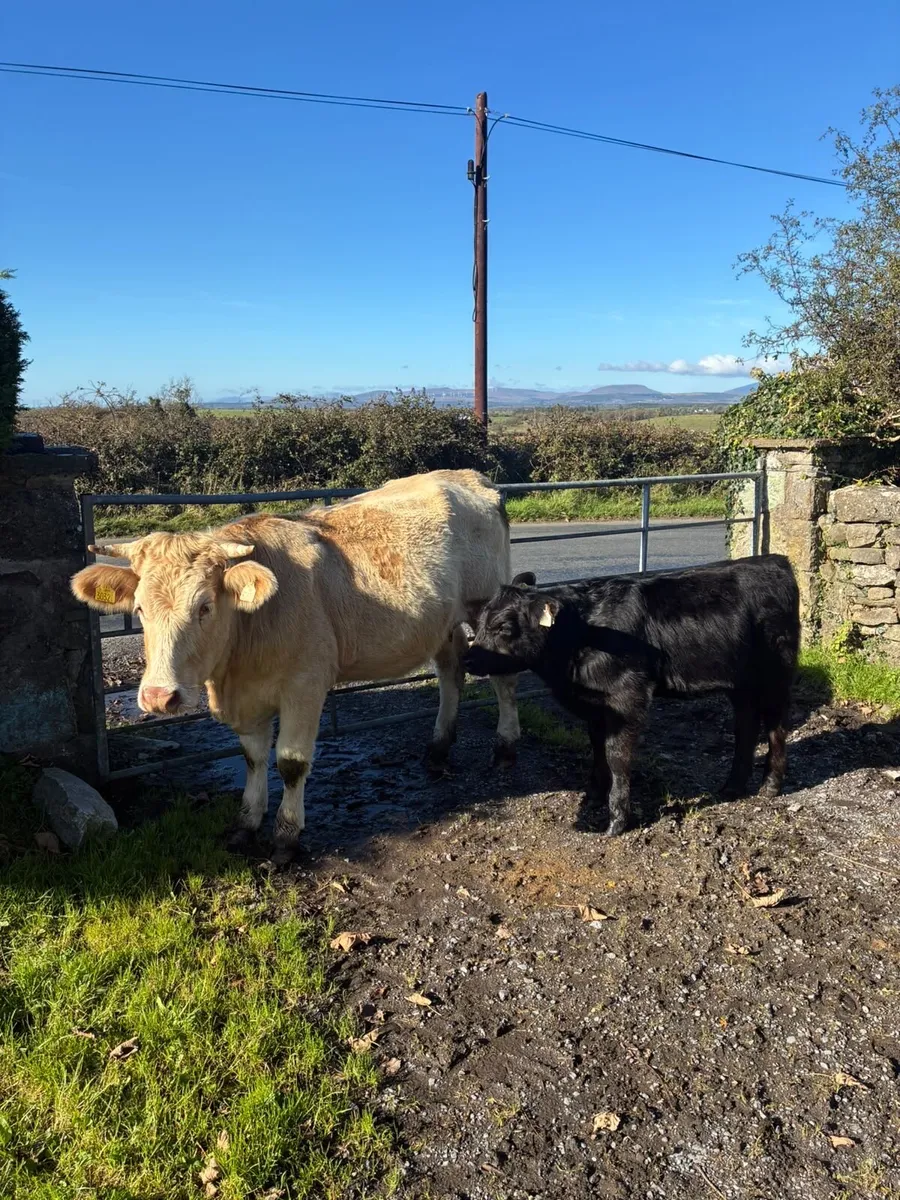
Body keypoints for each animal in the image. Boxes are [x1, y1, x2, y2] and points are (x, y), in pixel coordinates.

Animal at [71, 470, 525, 862]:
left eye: (204, 607)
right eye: (140, 610)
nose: (158, 696)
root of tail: (467, 476)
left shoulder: (305, 685)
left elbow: (290, 763)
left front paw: (286, 838)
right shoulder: (249, 698)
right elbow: (252, 758)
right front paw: (246, 823)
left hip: (485, 607)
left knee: (503, 679)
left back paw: (505, 747)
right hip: (442, 623)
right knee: (451, 672)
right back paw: (438, 748)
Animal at [465, 555, 800, 836]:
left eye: (503, 627)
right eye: (479, 622)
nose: (468, 660)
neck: (582, 634)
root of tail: (774, 561)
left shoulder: (626, 697)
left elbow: (616, 755)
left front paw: (616, 821)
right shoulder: (596, 705)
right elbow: (597, 748)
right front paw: (594, 796)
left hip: (776, 674)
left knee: (776, 726)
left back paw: (770, 785)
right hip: (741, 684)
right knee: (746, 725)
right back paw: (732, 787)